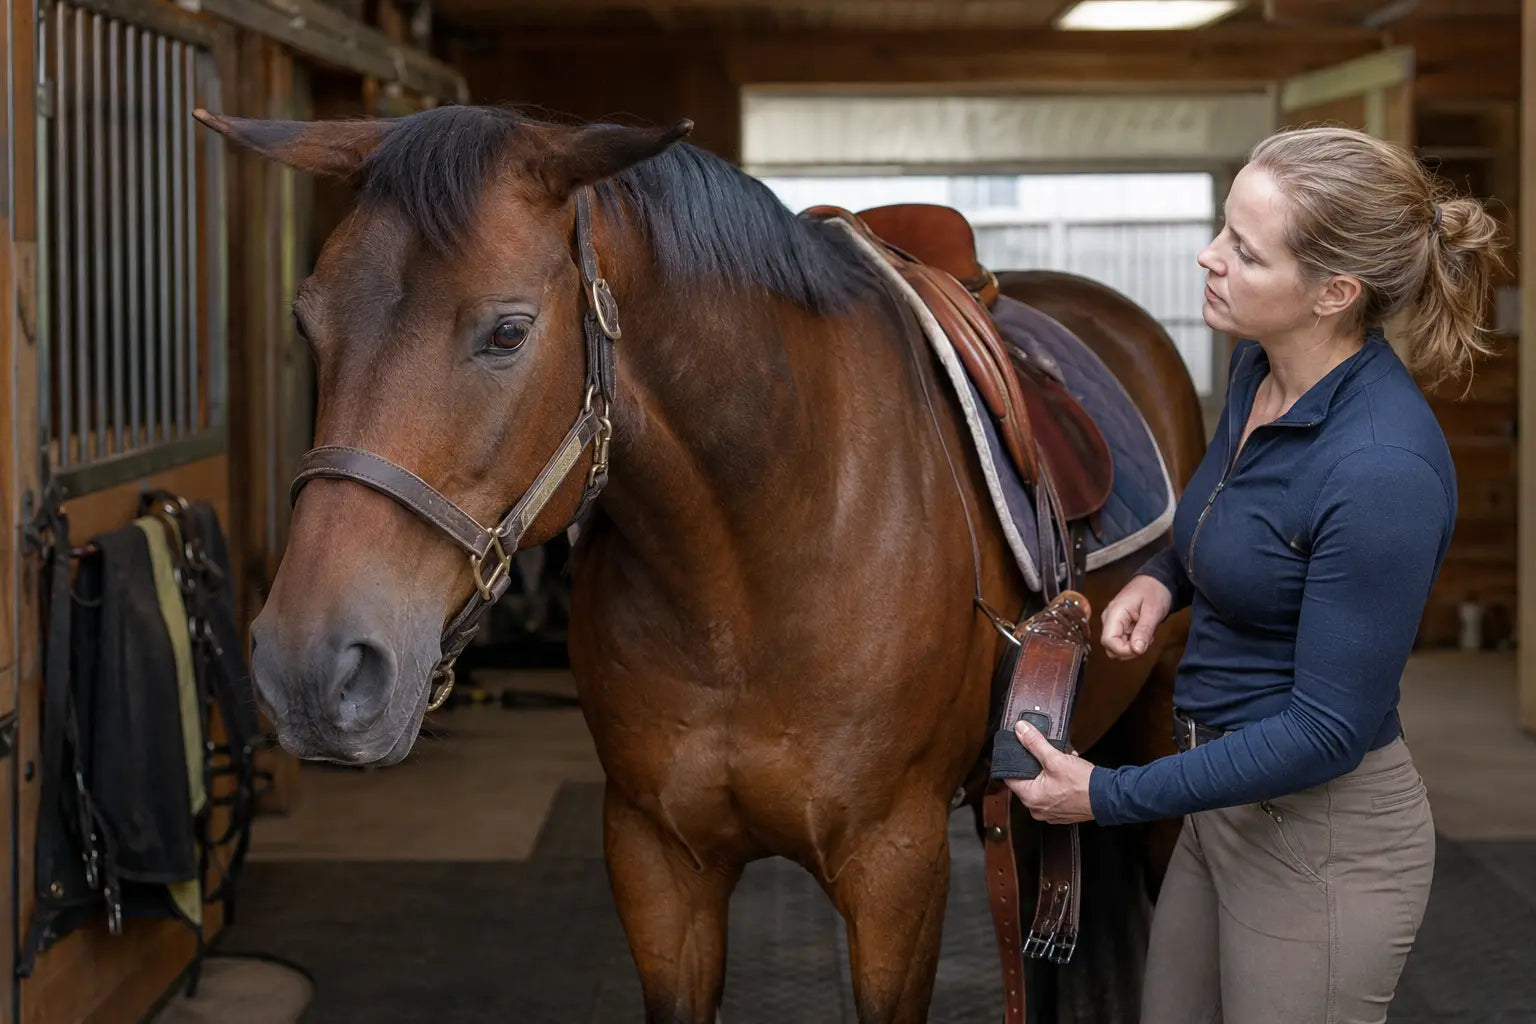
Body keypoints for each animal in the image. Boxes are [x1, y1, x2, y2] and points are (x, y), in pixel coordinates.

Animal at [197, 104, 1206, 1023]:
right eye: (307, 324)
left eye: (508, 332)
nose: (308, 667)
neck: (751, 573)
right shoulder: (657, 867)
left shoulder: (897, 873)